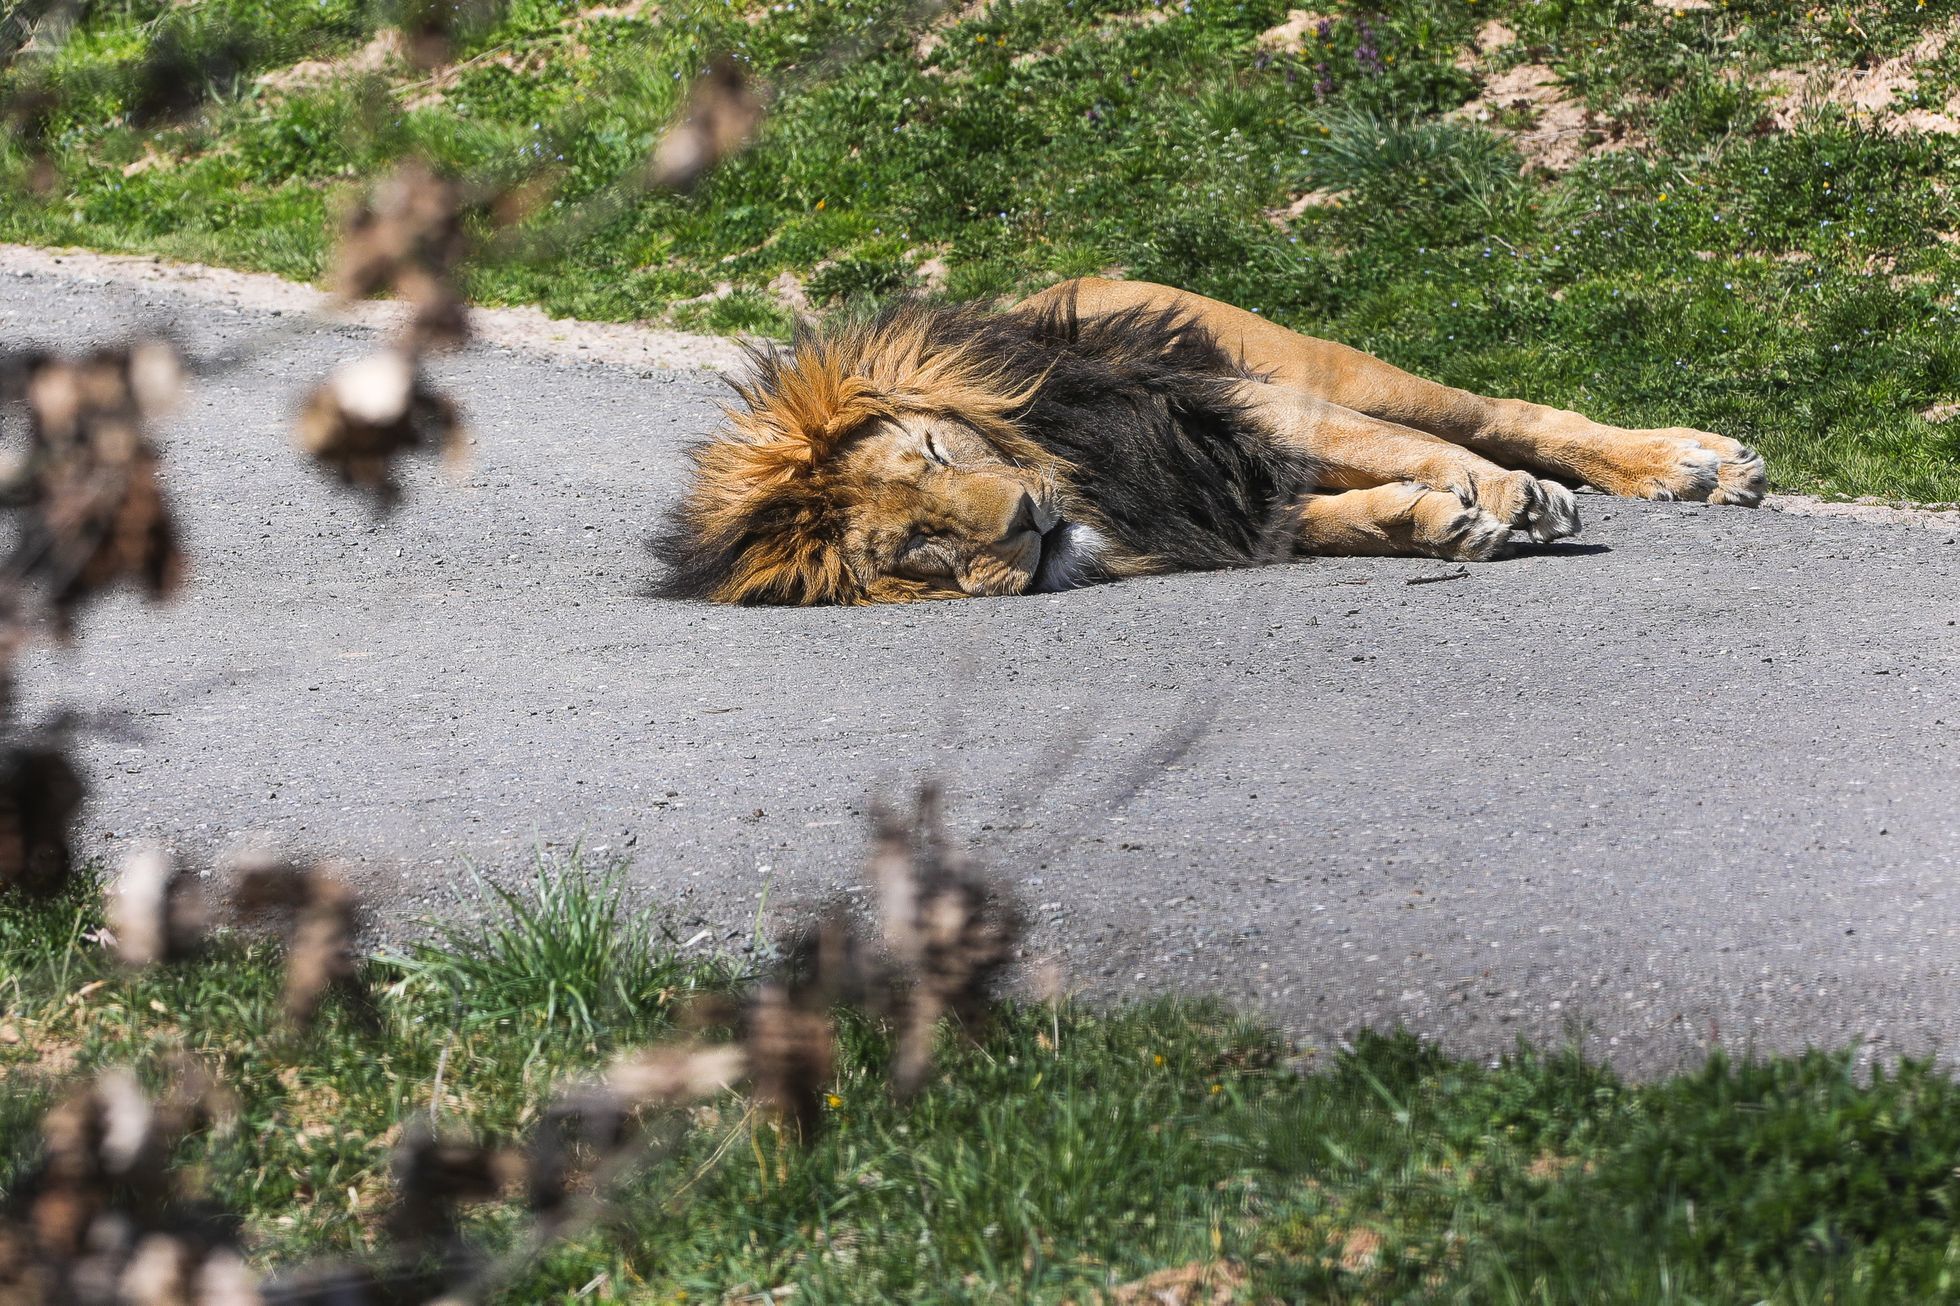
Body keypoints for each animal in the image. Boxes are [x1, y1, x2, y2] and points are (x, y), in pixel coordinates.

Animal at [650, 276, 1771, 603]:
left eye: (934, 453)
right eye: (918, 547)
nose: (1023, 526)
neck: (1090, 490)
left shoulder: (1224, 404)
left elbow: (1407, 449)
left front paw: (1501, 496)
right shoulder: (1225, 500)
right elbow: (1342, 516)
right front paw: (1439, 526)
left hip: (1308, 360)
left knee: (1501, 415)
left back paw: (1693, 465)